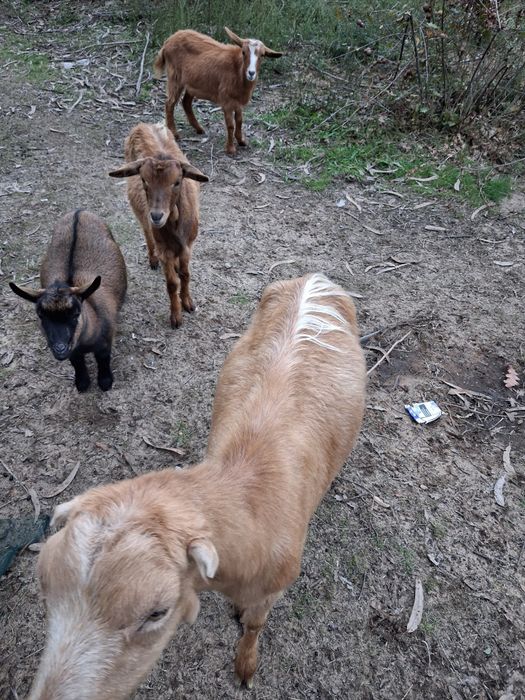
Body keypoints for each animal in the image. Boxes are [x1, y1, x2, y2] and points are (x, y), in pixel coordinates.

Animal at [9, 210, 126, 392]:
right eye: (41, 315)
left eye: (76, 313)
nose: (60, 349)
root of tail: (79, 211)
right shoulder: (74, 351)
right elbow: (76, 362)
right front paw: (82, 383)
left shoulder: (106, 341)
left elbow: (103, 359)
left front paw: (105, 382)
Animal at [28, 273, 366, 699]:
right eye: (44, 582)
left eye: (157, 612)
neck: (250, 499)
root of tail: (314, 279)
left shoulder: (273, 588)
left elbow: (255, 625)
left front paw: (245, 666)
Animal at [109, 122, 208, 329]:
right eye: (144, 180)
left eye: (177, 182)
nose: (156, 215)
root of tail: (142, 125)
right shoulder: (165, 249)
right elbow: (172, 284)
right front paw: (176, 317)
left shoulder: (188, 245)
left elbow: (185, 274)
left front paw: (188, 303)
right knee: (146, 231)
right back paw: (152, 259)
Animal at [154, 27, 283, 155]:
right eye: (243, 52)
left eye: (262, 55)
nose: (251, 73)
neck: (237, 70)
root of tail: (168, 40)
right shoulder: (226, 100)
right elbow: (230, 125)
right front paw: (230, 148)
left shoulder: (238, 101)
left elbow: (239, 120)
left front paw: (241, 141)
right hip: (175, 77)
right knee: (169, 103)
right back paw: (174, 134)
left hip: (192, 83)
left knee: (186, 102)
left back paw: (199, 129)